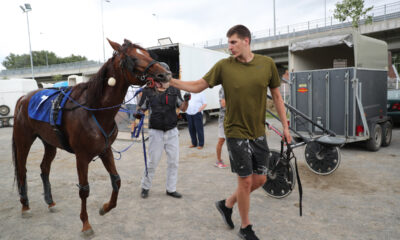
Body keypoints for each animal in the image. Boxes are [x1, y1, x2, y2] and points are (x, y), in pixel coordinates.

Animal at [11, 39, 171, 234]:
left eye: (148, 54)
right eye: (133, 58)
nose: (165, 74)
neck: (94, 110)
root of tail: (23, 98)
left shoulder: (105, 150)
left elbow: (116, 180)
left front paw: (105, 207)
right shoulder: (81, 156)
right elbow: (84, 190)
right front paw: (86, 224)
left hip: (49, 142)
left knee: (44, 168)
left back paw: (50, 202)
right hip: (23, 140)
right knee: (22, 170)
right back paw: (25, 206)